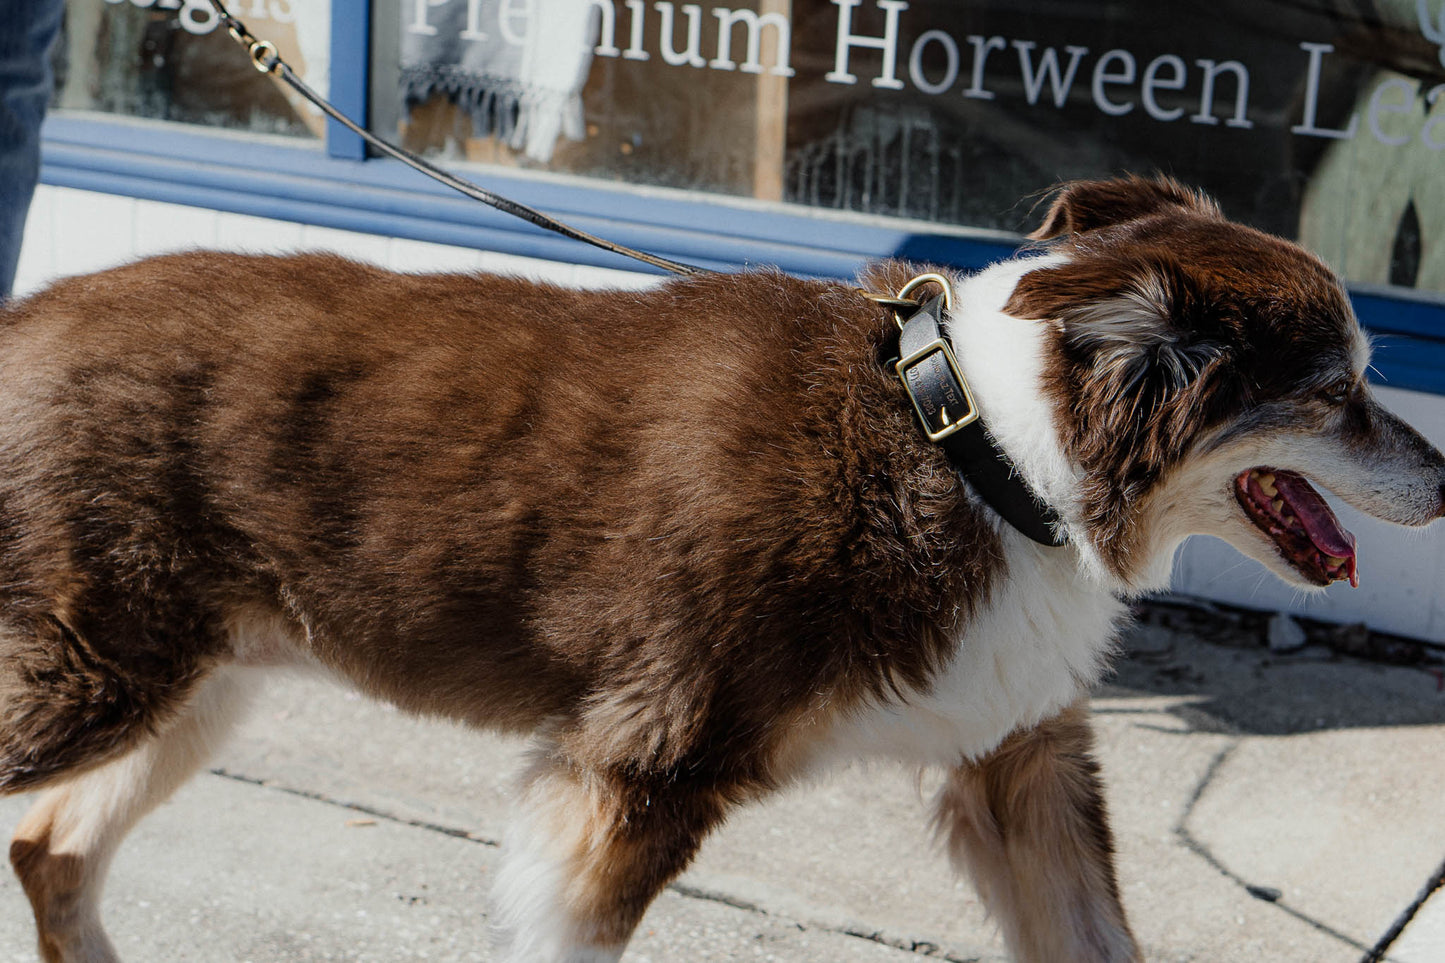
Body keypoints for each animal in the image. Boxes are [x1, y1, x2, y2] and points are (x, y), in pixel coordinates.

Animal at [0, 174, 1439, 960]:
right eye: (1338, 395)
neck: (972, 443)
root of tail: (30, 313)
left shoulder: (1018, 757)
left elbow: (1095, 931)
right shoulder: (633, 771)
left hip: (199, 683)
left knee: (49, 845)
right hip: (93, 677)